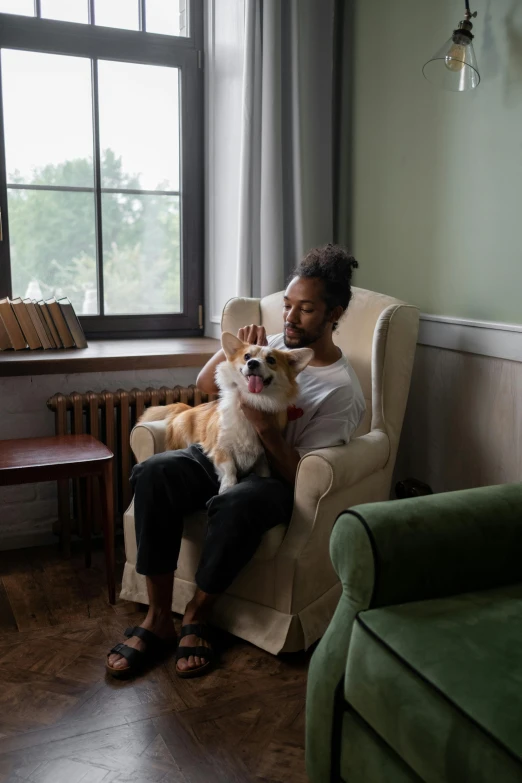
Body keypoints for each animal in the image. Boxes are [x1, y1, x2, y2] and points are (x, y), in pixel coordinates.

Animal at [136, 332, 312, 494]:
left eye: (271, 360)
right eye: (247, 356)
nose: (252, 363)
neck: (254, 400)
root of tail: (186, 408)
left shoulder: (262, 456)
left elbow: (264, 473)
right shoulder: (221, 447)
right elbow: (229, 468)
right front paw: (227, 486)